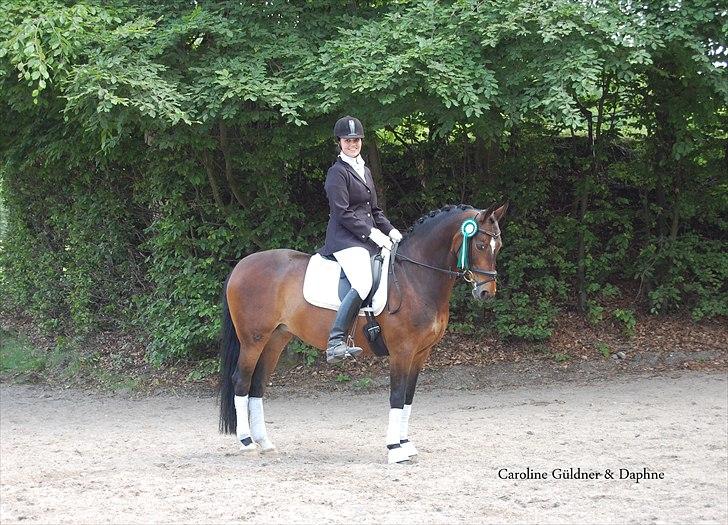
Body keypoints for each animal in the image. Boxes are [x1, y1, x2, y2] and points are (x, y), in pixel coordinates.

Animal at [218, 202, 508, 464]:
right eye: (481, 245)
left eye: (499, 247)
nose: (486, 292)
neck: (414, 277)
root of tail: (240, 266)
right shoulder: (402, 351)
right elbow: (396, 395)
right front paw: (394, 449)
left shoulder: (421, 353)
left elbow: (408, 397)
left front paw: (406, 443)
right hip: (253, 341)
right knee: (241, 381)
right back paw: (247, 442)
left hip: (275, 340)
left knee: (257, 385)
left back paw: (265, 443)